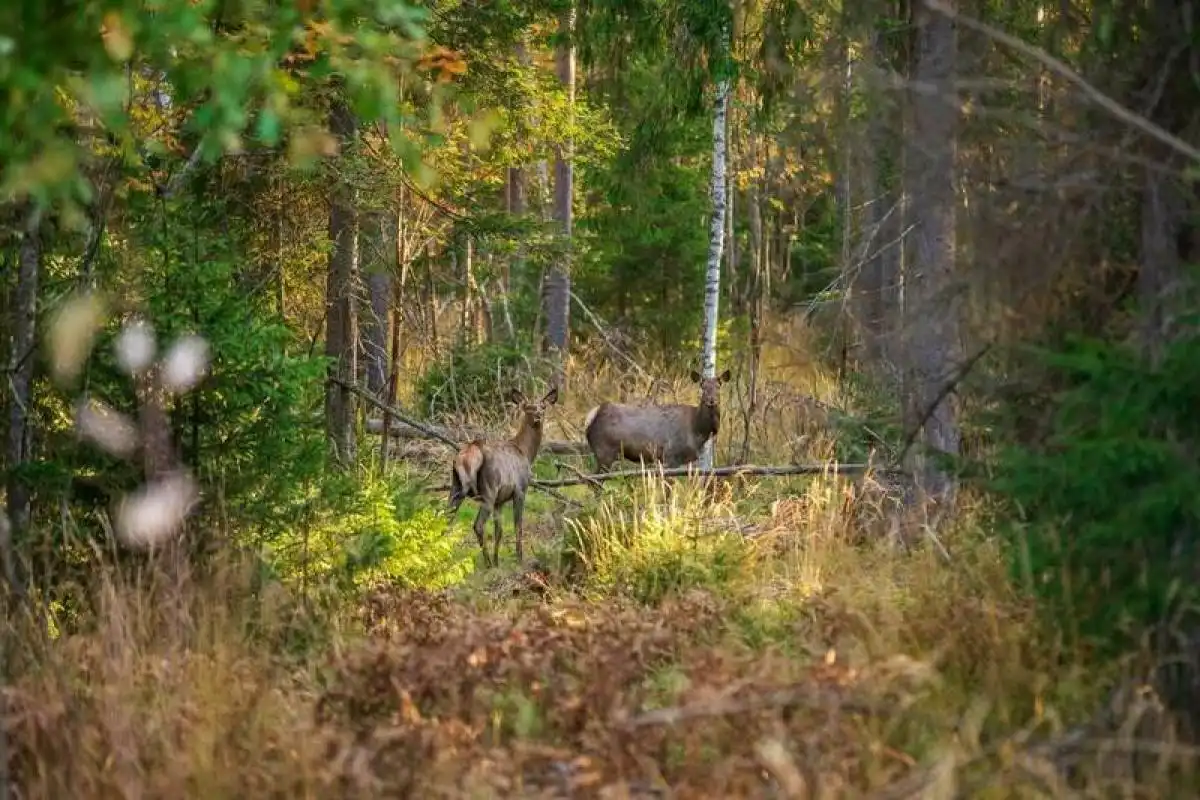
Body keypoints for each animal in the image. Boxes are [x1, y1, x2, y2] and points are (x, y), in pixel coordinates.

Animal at [448, 383, 559, 566]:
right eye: (528, 407)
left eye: (543, 407)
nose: (538, 416)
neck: (525, 452)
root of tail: (466, 455)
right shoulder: (520, 489)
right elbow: (518, 525)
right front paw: (519, 558)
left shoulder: (499, 501)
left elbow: (499, 530)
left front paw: (498, 561)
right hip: (488, 489)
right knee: (478, 525)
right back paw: (487, 563)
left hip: (456, 486)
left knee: (444, 517)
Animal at [580, 371, 729, 474]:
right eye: (703, 387)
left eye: (718, 386)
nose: (711, 400)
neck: (697, 430)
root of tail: (592, 416)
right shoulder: (670, 455)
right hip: (604, 452)